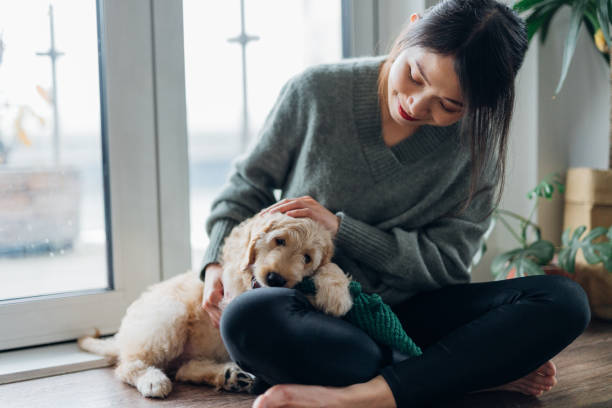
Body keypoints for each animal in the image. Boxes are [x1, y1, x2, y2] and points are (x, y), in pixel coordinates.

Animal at [79, 212, 352, 396]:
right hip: (168, 317)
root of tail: (123, 337)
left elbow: (328, 266)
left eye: (307, 258)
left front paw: (337, 292)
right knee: (128, 365)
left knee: (183, 369)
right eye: (279, 240)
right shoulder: (236, 287)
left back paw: (229, 376)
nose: (275, 279)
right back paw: (153, 380)